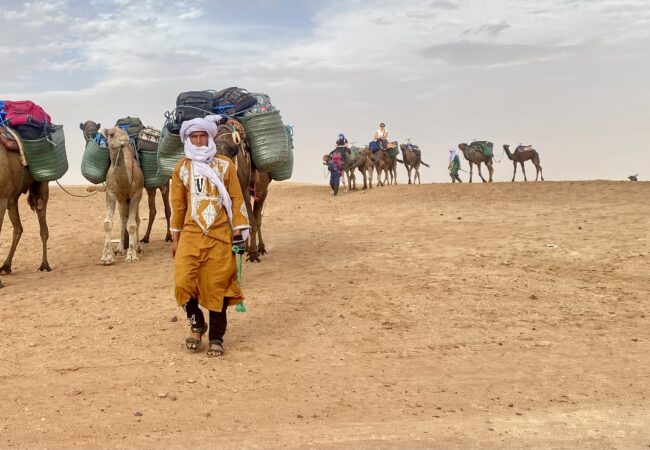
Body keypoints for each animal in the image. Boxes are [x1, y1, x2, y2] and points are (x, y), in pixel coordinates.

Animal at [98, 126, 142, 266]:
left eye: (125, 132)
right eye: (111, 134)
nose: (125, 138)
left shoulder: (136, 193)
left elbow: (132, 224)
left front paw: (132, 255)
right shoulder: (111, 193)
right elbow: (107, 223)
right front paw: (106, 257)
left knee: (136, 220)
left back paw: (138, 247)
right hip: (122, 200)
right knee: (123, 219)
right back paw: (120, 248)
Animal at [215, 118, 270, 264]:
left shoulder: (243, 189)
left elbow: (251, 220)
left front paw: (253, 254)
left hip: (261, 191)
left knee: (257, 218)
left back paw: (260, 248)